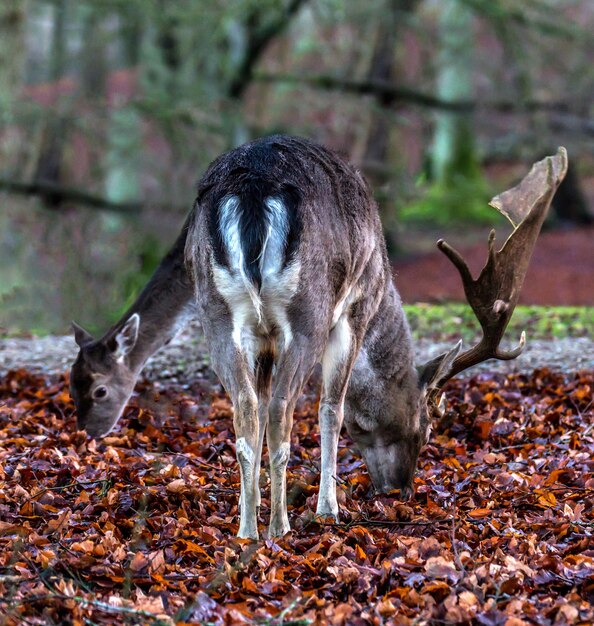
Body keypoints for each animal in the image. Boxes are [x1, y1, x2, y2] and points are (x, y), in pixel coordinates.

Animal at [71, 135, 568, 536]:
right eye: (427, 428)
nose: (399, 489)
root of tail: (253, 190)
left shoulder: (260, 341)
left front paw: (254, 503)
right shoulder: (352, 310)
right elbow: (333, 409)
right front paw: (328, 509)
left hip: (220, 316)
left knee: (247, 411)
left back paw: (247, 531)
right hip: (307, 312)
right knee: (281, 410)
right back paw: (281, 527)